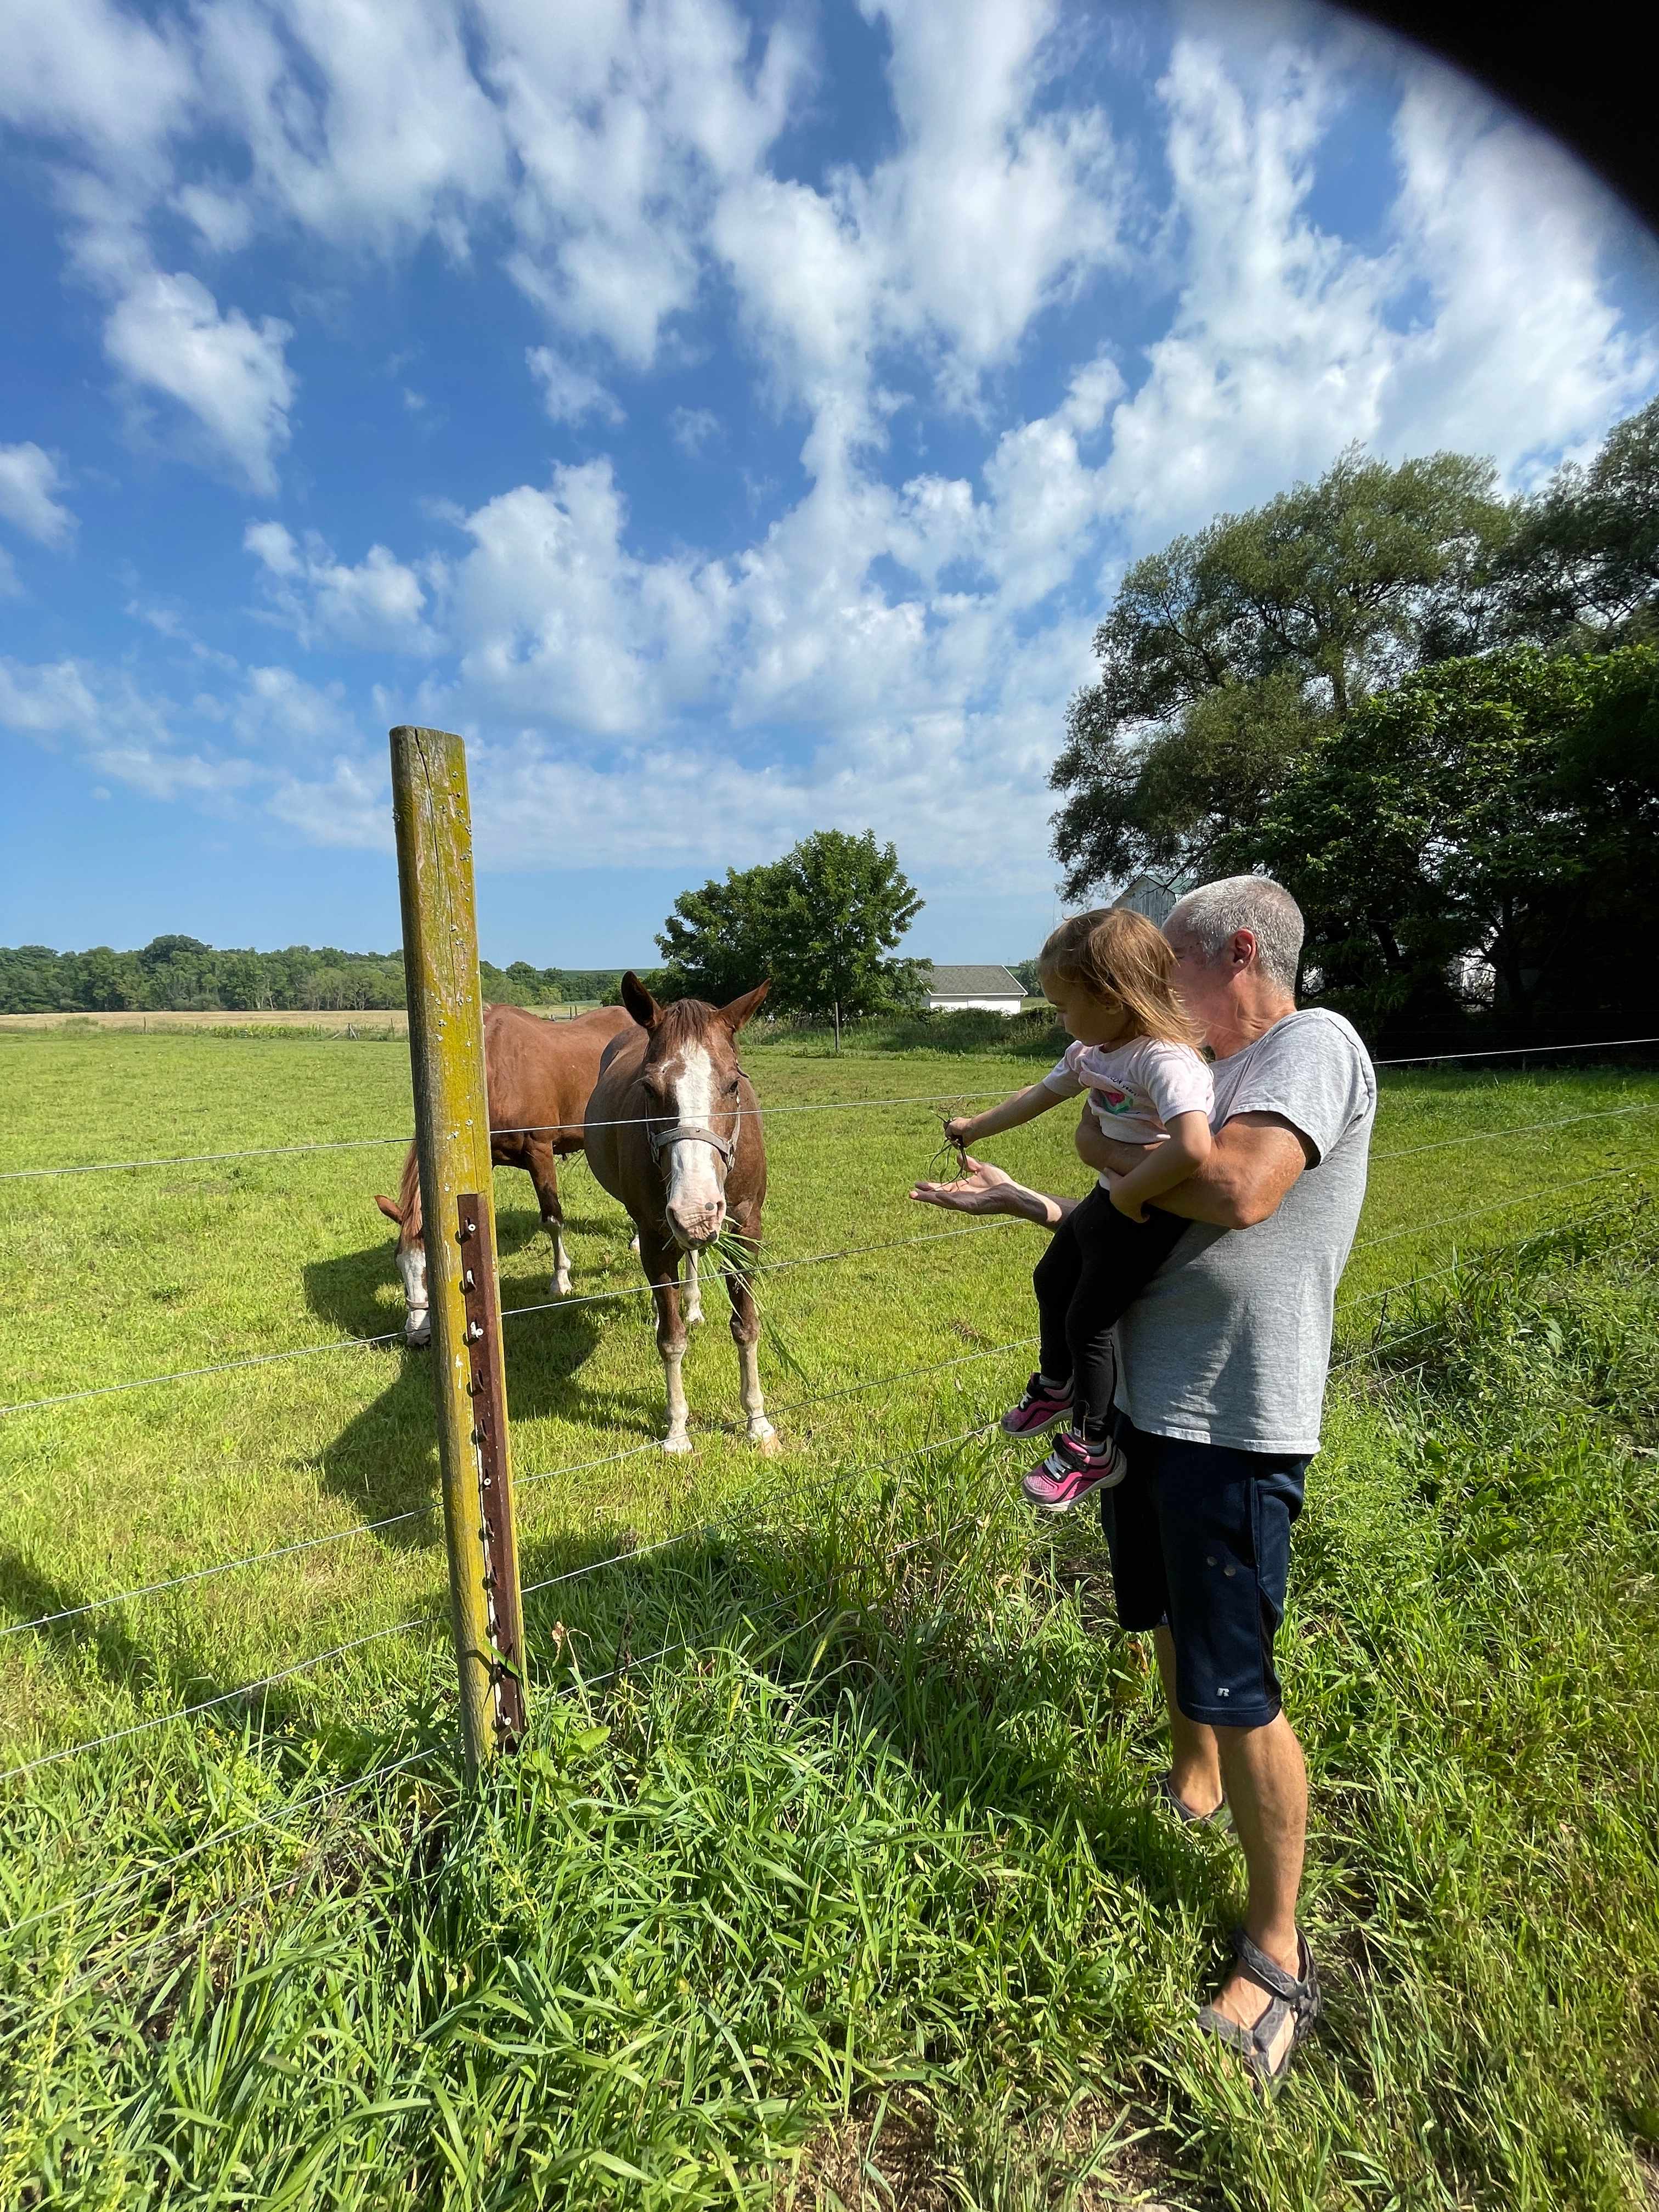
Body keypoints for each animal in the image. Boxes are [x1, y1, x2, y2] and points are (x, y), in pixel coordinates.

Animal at [375, 1001, 636, 1344]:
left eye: (432, 1271)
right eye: (399, 1264)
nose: (418, 1335)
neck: (496, 1074)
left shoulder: (540, 1152)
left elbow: (552, 1220)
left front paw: (561, 1280)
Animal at [584, 972, 778, 1456]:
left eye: (733, 1085)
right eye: (649, 1089)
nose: (696, 1210)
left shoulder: (746, 1232)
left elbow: (747, 1326)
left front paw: (758, 1423)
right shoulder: (657, 1237)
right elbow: (671, 1341)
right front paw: (676, 1431)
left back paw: (692, 1302)